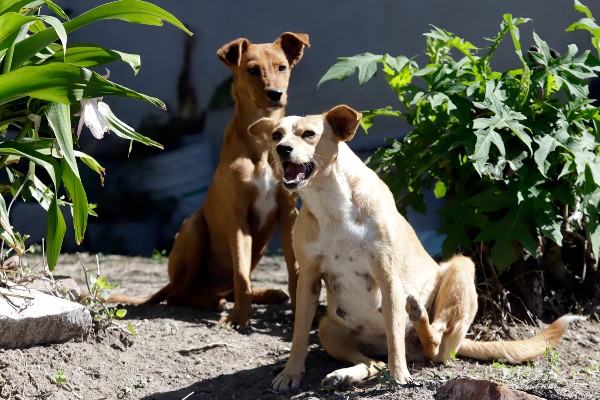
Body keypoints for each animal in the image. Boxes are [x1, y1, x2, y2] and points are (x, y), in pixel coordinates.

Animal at [109, 33, 312, 328]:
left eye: (282, 67)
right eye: (252, 70)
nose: (275, 93)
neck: (263, 142)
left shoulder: (287, 213)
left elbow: (293, 270)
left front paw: (300, 316)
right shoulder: (238, 216)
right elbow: (241, 274)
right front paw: (238, 318)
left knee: (227, 287)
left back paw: (264, 294)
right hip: (194, 228)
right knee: (180, 293)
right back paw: (215, 302)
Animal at [247, 104, 580, 390]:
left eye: (309, 134)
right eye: (276, 135)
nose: (282, 149)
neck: (331, 206)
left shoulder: (388, 277)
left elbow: (395, 337)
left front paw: (401, 377)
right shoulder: (308, 278)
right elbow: (298, 336)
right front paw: (291, 374)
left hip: (461, 270)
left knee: (435, 344)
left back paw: (420, 321)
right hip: (329, 329)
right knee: (375, 362)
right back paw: (346, 374)